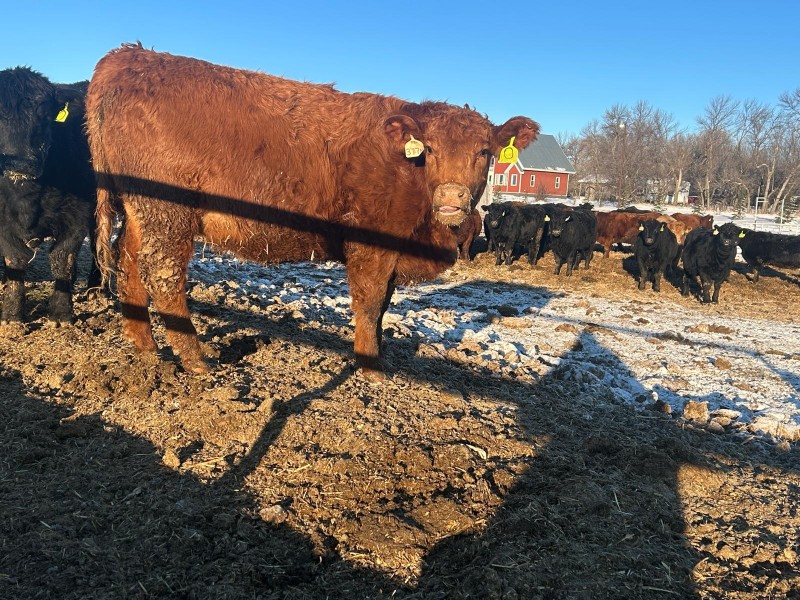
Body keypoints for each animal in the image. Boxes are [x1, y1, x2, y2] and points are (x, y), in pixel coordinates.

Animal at [0, 67, 99, 326]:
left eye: (44, 116)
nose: (21, 163)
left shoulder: (78, 215)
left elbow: (62, 258)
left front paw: (61, 313)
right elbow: (15, 260)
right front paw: (12, 315)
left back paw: (96, 289)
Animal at [85, 44, 539, 377]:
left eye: (485, 152)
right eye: (429, 149)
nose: (451, 196)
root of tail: (131, 55)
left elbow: (383, 308)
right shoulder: (370, 247)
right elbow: (370, 304)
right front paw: (371, 368)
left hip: (141, 213)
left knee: (129, 264)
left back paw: (146, 348)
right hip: (168, 214)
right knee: (163, 276)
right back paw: (196, 359)